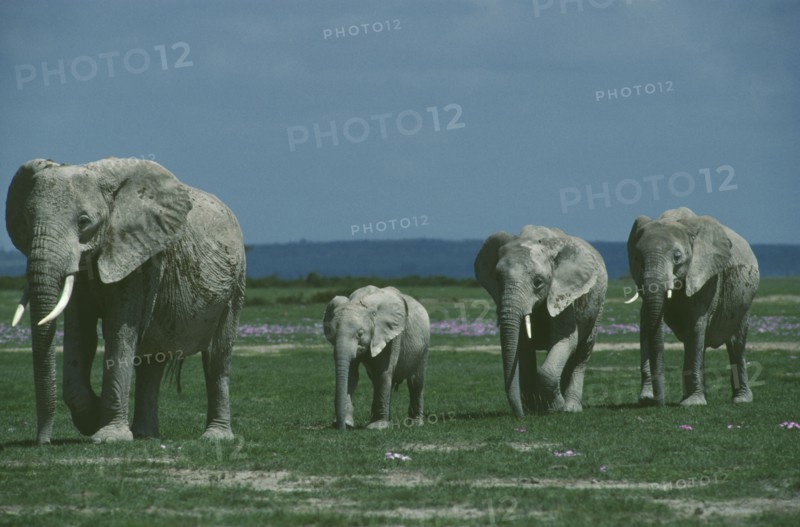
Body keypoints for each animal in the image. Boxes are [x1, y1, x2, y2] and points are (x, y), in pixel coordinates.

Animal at [5, 158, 246, 444]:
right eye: (27, 219)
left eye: (84, 222)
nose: (43, 441)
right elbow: (81, 334)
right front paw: (92, 418)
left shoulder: (136, 258)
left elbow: (119, 331)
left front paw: (108, 436)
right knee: (152, 359)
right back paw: (146, 436)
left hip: (235, 284)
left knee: (217, 356)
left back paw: (215, 437)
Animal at [323, 285, 430, 430]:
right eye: (332, 333)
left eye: (360, 334)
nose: (340, 428)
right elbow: (351, 374)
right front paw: (347, 423)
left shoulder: (391, 336)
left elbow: (382, 373)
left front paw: (377, 427)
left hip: (424, 344)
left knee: (416, 381)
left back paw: (415, 423)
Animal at [475, 226, 608, 417]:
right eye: (498, 279)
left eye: (538, 282)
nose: (520, 416)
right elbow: (523, 346)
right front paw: (535, 409)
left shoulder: (564, 296)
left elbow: (567, 339)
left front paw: (556, 407)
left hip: (599, 306)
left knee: (583, 352)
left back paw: (570, 407)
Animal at [626, 207, 759, 406]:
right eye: (637, 257)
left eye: (677, 257)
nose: (659, 403)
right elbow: (645, 324)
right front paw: (646, 398)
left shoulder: (707, 277)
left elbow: (696, 324)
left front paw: (693, 404)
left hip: (744, 303)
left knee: (736, 343)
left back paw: (741, 399)